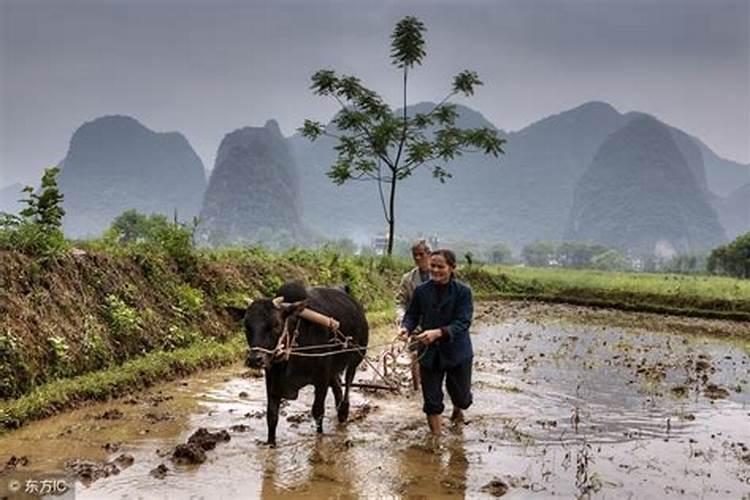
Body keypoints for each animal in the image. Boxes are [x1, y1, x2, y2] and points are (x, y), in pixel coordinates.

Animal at [229, 282, 370, 446]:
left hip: (356, 357)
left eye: (276, 325)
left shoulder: (321, 378)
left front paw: (319, 437)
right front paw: (271, 443)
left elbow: (317, 411)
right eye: (246, 326)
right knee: (337, 387)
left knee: (347, 382)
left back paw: (343, 411)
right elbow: (272, 416)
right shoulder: (272, 378)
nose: (254, 359)